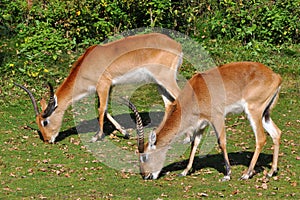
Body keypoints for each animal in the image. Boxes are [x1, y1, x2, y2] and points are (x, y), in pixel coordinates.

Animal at [15, 33, 182, 145]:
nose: (47, 139)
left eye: (45, 122)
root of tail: (176, 46)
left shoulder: (103, 85)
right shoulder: (108, 87)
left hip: (166, 79)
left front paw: (96, 136)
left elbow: (101, 109)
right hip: (159, 83)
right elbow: (106, 109)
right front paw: (125, 133)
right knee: (169, 104)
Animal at [129, 62, 282, 181]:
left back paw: (247, 174)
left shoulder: (217, 117)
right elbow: (194, 144)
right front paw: (185, 171)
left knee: (261, 138)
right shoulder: (201, 124)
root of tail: (276, 76)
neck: (195, 93)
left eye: (144, 157)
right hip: (265, 115)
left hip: (254, 111)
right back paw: (271, 172)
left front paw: (227, 174)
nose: (145, 175)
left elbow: (221, 142)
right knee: (276, 133)